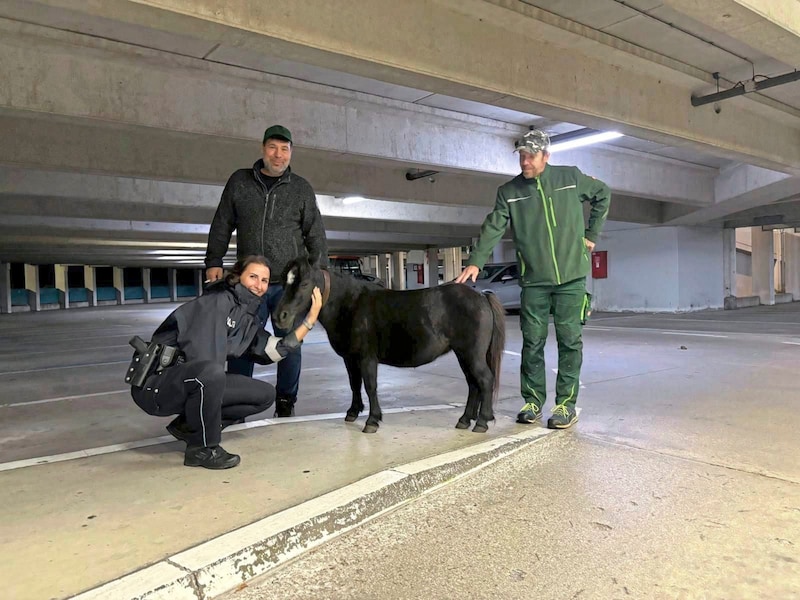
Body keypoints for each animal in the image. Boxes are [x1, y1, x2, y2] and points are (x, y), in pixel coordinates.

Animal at [272, 258, 504, 432]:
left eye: (304, 284)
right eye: (284, 282)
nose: (279, 317)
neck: (350, 304)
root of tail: (481, 296)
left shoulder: (366, 358)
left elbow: (370, 386)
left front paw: (372, 421)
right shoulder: (350, 358)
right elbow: (354, 384)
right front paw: (353, 412)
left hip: (471, 354)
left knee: (484, 380)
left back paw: (481, 422)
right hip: (463, 354)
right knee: (473, 383)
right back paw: (464, 420)